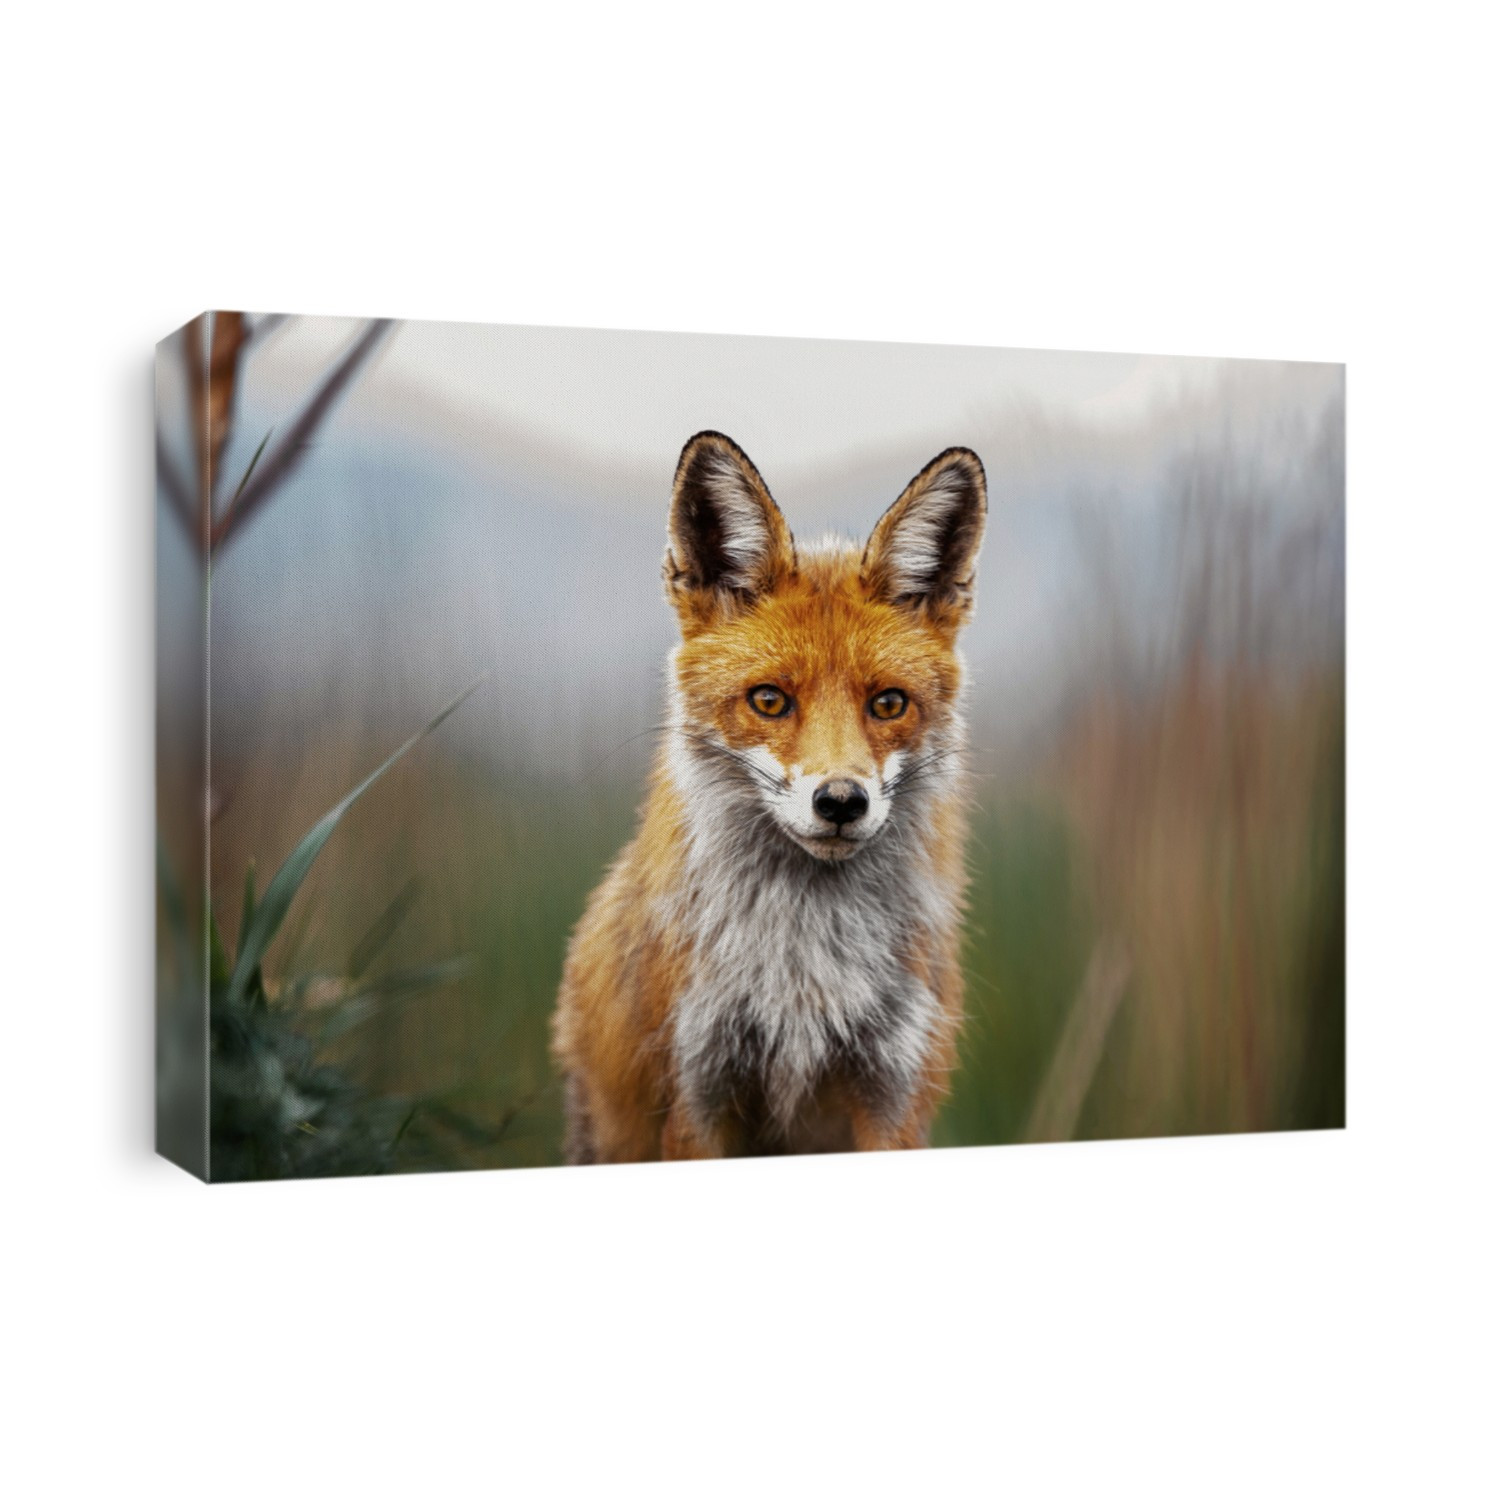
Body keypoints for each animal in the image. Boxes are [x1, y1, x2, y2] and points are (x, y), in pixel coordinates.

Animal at [551, 430, 987, 1162]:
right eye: (770, 701)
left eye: (888, 704)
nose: (840, 802)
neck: (804, 969)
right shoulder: (699, 1094)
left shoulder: (892, 1094)